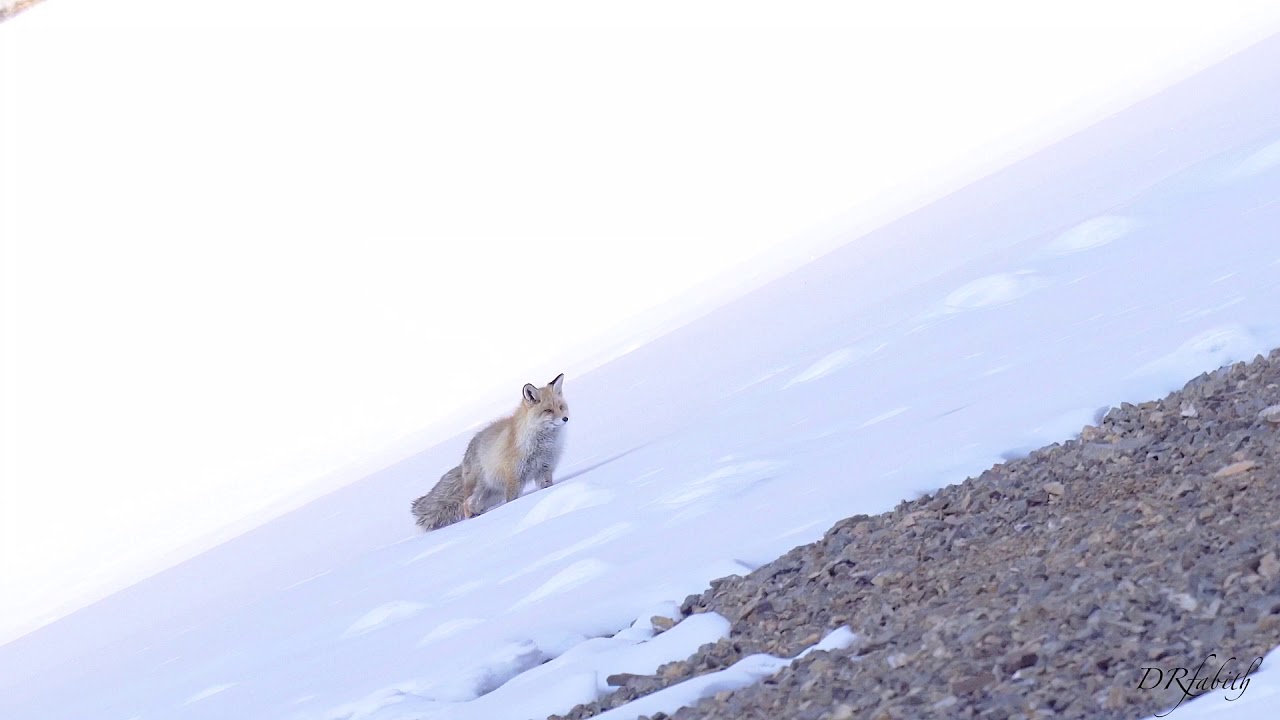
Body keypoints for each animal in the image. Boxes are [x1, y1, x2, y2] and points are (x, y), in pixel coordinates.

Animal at [410, 373, 569, 531]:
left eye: (561, 407)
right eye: (548, 410)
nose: (565, 418)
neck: (540, 444)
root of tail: (466, 453)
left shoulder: (544, 469)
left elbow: (546, 486)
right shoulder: (514, 477)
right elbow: (512, 500)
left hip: (494, 493)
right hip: (479, 489)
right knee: (466, 504)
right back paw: (473, 519)